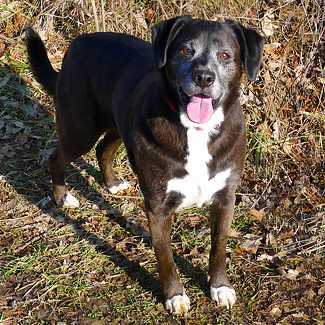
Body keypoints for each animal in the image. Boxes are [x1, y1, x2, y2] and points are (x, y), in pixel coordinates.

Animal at [25, 16, 264, 316]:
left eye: (225, 55)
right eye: (185, 50)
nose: (203, 78)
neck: (196, 130)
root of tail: (79, 41)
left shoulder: (225, 197)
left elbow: (219, 246)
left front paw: (219, 287)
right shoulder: (158, 207)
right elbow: (165, 256)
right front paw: (175, 296)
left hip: (117, 123)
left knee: (104, 149)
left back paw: (112, 184)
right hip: (80, 129)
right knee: (57, 157)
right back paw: (62, 196)